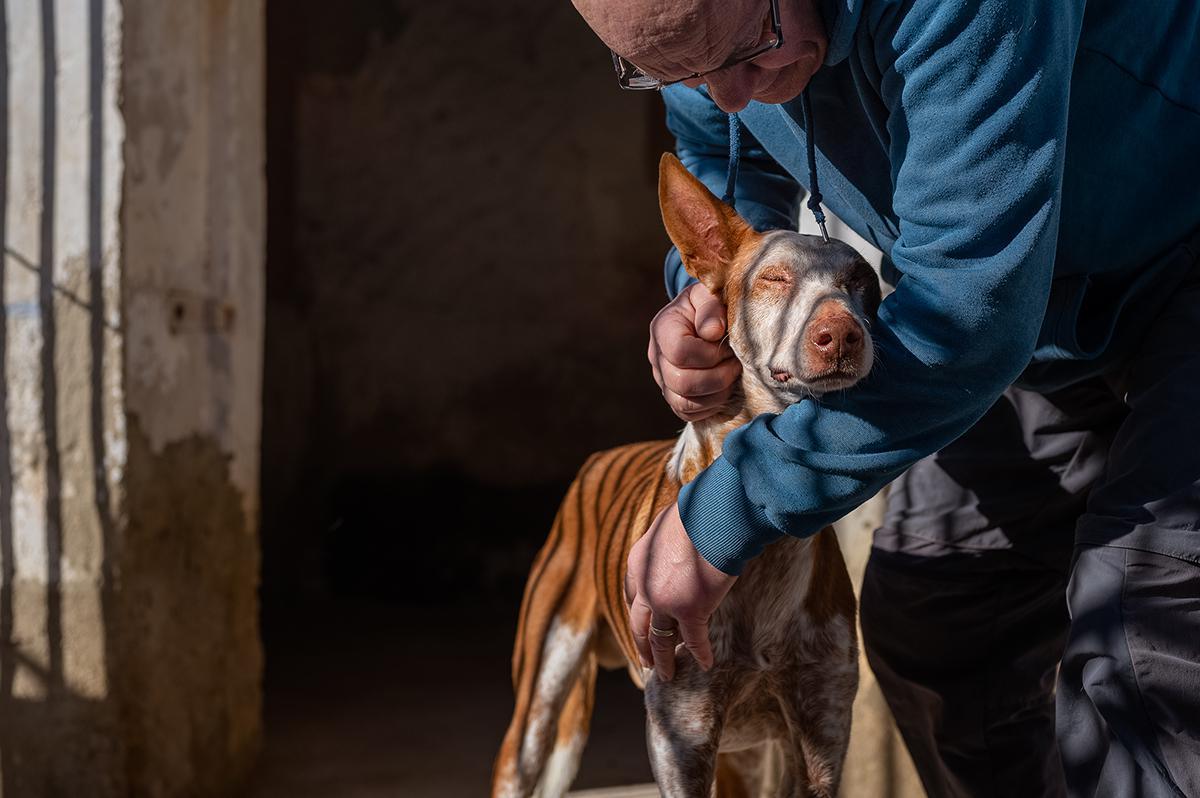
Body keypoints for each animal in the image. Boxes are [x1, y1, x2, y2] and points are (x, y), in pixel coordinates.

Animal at [489, 156, 883, 796]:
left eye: (861, 285)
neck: (762, 554)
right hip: (540, 704)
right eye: (774, 279)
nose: (843, 334)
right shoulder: (683, 734)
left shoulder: (821, 730)